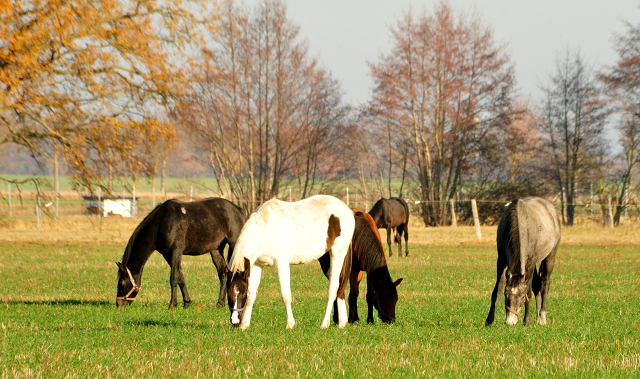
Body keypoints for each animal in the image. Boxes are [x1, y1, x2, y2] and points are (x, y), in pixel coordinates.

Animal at [115, 197, 245, 310]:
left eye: (121, 284)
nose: (118, 304)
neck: (161, 223)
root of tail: (238, 209)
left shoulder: (176, 251)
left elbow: (174, 278)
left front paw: (172, 304)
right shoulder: (167, 255)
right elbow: (181, 277)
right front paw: (186, 303)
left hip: (234, 245)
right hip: (216, 249)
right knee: (223, 273)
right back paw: (220, 303)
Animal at [225, 196, 356, 330]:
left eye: (242, 293)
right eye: (228, 293)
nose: (235, 321)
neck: (266, 228)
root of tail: (347, 209)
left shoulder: (281, 263)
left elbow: (285, 295)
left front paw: (290, 324)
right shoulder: (256, 264)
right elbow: (252, 295)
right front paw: (245, 325)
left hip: (337, 253)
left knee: (333, 288)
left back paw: (325, 323)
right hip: (325, 260)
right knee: (340, 288)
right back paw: (342, 322)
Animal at [484, 197, 560, 328]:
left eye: (521, 297)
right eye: (506, 294)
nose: (510, 322)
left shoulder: (531, 263)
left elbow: (528, 291)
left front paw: (527, 320)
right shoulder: (502, 261)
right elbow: (497, 290)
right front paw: (489, 321)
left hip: (550, 257)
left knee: (545, 285)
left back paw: (542, 317)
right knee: (537, 286)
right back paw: (538, 317)